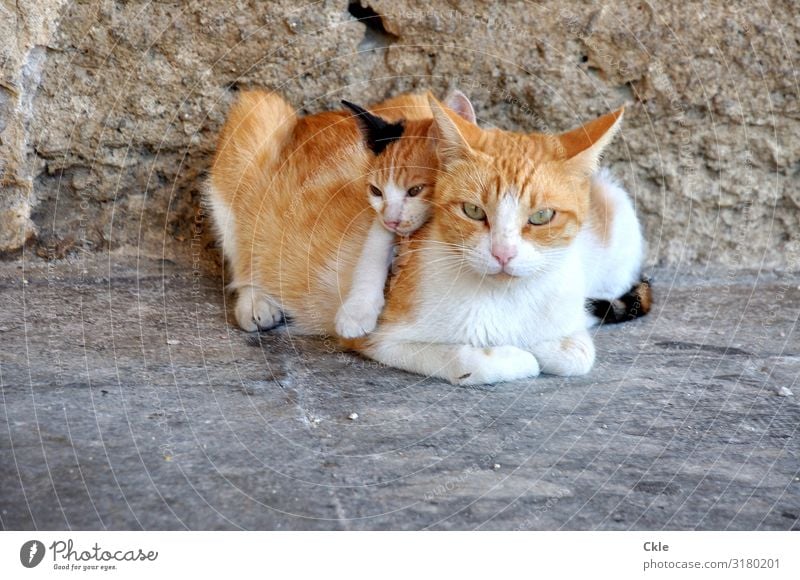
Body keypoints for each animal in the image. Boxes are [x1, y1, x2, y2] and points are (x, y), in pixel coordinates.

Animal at [208, 90, 644, 382]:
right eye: (473, 210)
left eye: (541, 216)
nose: (503, 254)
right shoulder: (381, 339)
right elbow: (471, 360)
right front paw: (519, 356)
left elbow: (579, 352)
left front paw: (546, 343)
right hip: (253, 121)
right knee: (242, 256)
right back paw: (258, 302)